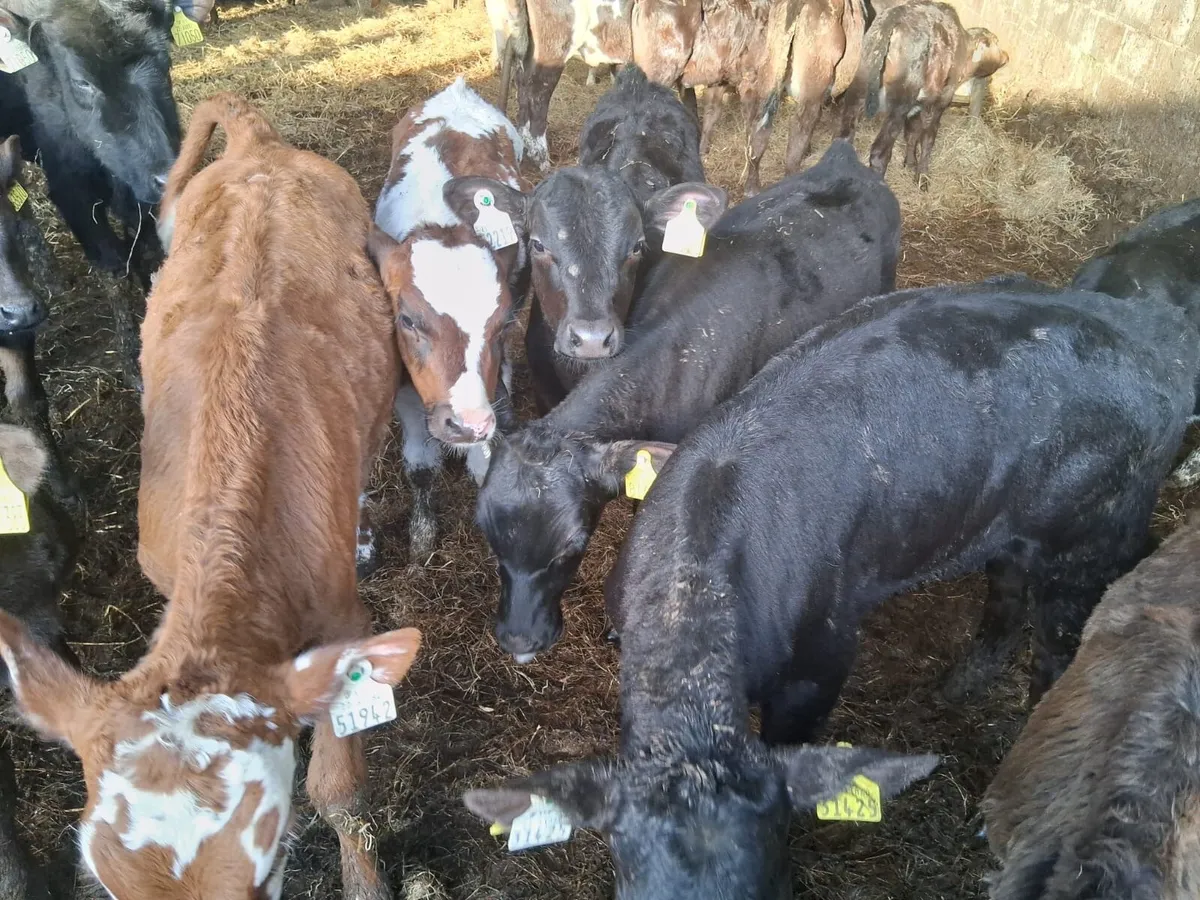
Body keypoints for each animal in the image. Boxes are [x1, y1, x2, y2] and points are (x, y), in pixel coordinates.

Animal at [0, 0, 182, 385]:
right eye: (81, 81)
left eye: (166, 60)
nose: (166, 172)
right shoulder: (72, 191)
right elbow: (112, 268)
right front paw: (132, 362)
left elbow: (145, 251)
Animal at [0, 93, 423, 900]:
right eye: (105, 882)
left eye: (269, 865)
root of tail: (259, 145)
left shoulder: (341, 621)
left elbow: (339, 792)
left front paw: (363, 880)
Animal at [370, 77, 527, 561]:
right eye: (407, 319)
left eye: (503, 325)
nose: (467, 423)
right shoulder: (406, 389)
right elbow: (420, 468)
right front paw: (421, 536)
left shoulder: (497, 379)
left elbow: (484, 461)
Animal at [838, 0, 1008, 179]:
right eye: (996, 42)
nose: (1007, 56)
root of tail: (894, 18)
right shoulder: (939, 102)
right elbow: (927, 138)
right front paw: (922, 175)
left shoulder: (918, 106)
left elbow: (912, 133)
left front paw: (910, 162)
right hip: (900, 104)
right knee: (880, 153)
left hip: (858, 88)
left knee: (845, 137)